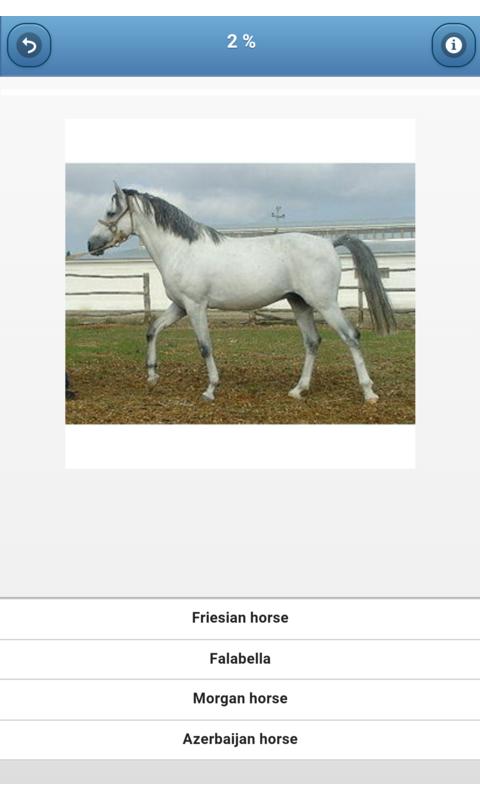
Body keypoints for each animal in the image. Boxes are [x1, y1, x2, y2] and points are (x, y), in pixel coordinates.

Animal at [88, 182, 396, 403]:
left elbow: (205, 346)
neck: (181, 249)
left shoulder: (196, 306)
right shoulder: (180, 306)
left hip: (325, 304)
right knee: (312, 341)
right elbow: (152, 330)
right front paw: (152, 374)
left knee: (351, 337)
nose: (91, 244)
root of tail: (330, 244)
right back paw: (298, 390)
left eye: (111, 213)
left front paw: (210, 390)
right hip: (299, 304)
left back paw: (369, 393)